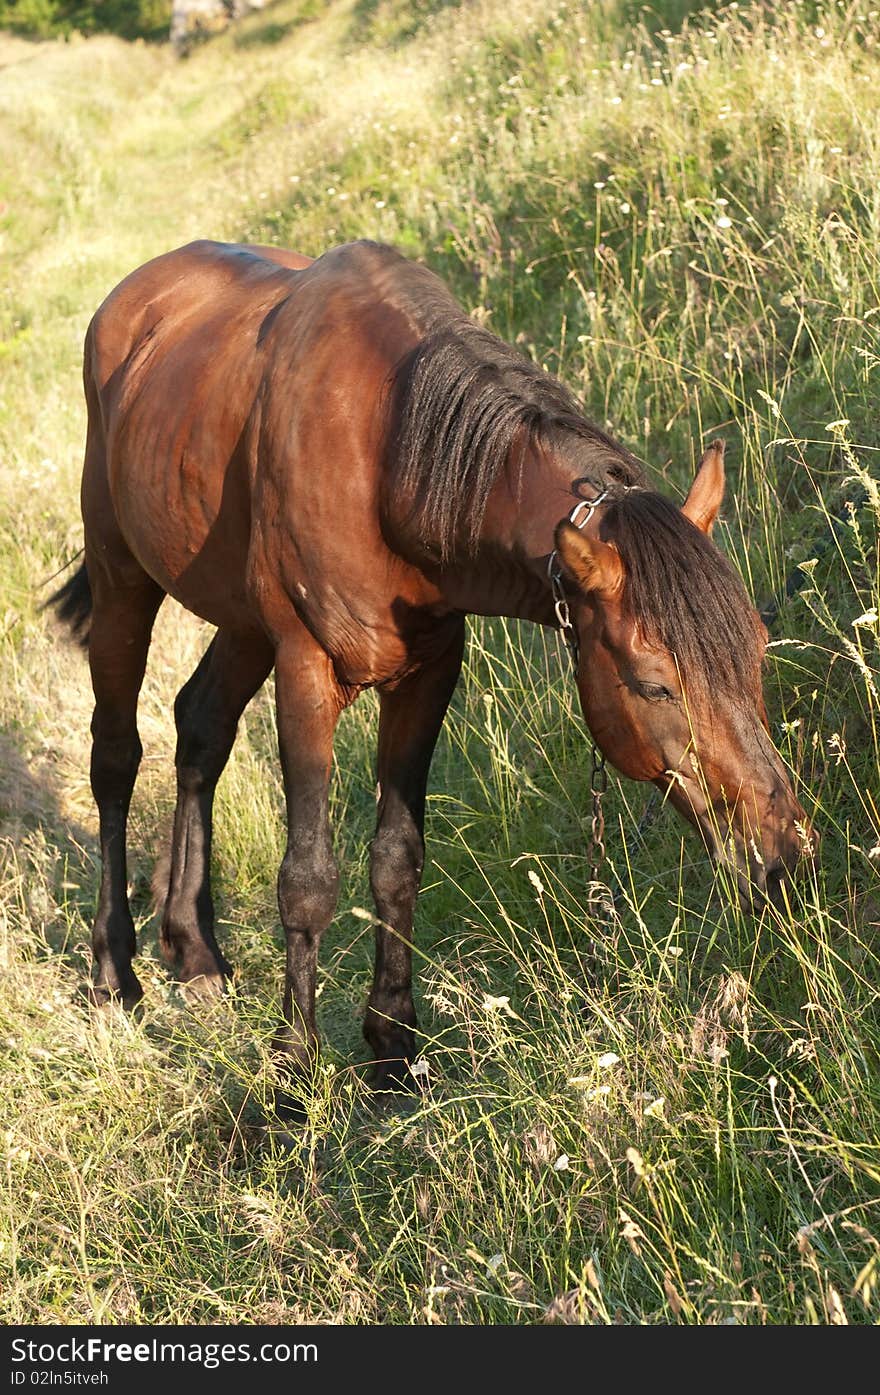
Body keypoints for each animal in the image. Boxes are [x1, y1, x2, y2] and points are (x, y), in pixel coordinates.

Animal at [53, 237, 814, 1110]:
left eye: (756, 651)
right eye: (655, 684)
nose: (781, 853)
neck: (389, 460)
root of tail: (137, 292)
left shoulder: (428, 672)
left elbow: (397, 860)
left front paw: (393, 1049)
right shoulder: (307, 670)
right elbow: (307, 878)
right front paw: (292, 1072)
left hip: (243, 621)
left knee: (200, 728)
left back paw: (196, 950)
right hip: (122, 577)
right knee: (116, 756)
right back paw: (114, 971)